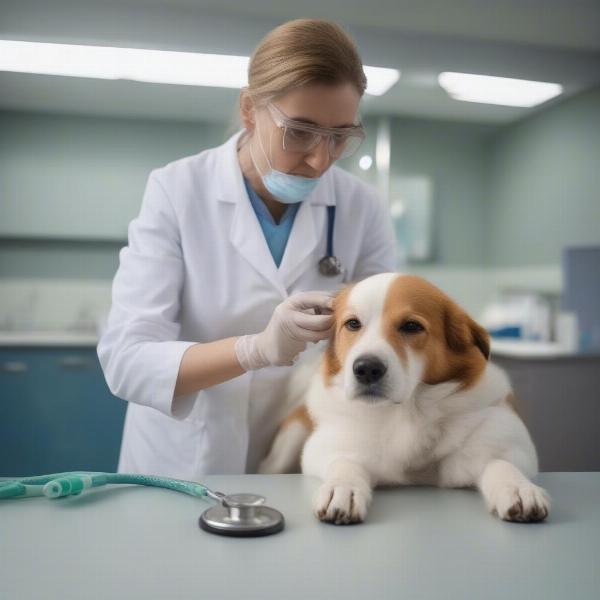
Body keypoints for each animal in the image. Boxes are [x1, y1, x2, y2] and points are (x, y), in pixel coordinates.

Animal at [260, 274, 552, 524]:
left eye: (411, 326)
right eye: (353, 324)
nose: (366, 368)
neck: (409, 412)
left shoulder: (506, 446)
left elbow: (500, 463)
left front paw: (517, 487)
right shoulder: (325, 449)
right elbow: (344, 464)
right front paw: (341, 489)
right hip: (290, 441)